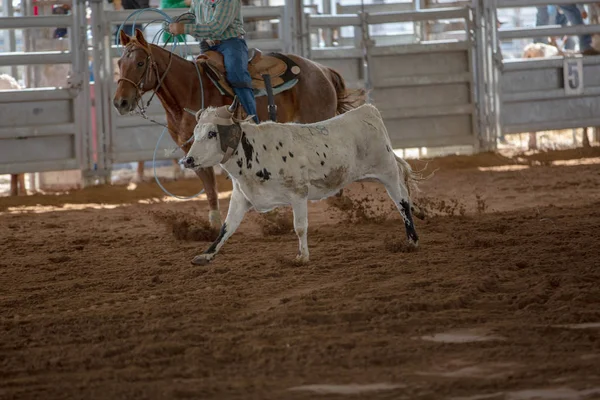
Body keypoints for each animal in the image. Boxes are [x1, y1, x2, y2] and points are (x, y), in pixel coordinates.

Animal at [115, 29, 364, 227]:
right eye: (119, 64)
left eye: (140, 63)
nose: (120, 103)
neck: (190, 90)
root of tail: (323, 70)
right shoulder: (192, 150)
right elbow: (209, 186)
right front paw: (214, 224)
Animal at [180, 99, 420, 266]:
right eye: (195, 132)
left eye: (212, 133)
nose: (188, 160)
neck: (255, 151)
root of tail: (368, 110)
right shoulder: (241, 196)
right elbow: (227, 227)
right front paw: (206, 255)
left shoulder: (298, 194)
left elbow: (300, 227)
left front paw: (302, 257)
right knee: (404, 190)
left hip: (386, 171)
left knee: (401, 201)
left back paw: (412, 240)